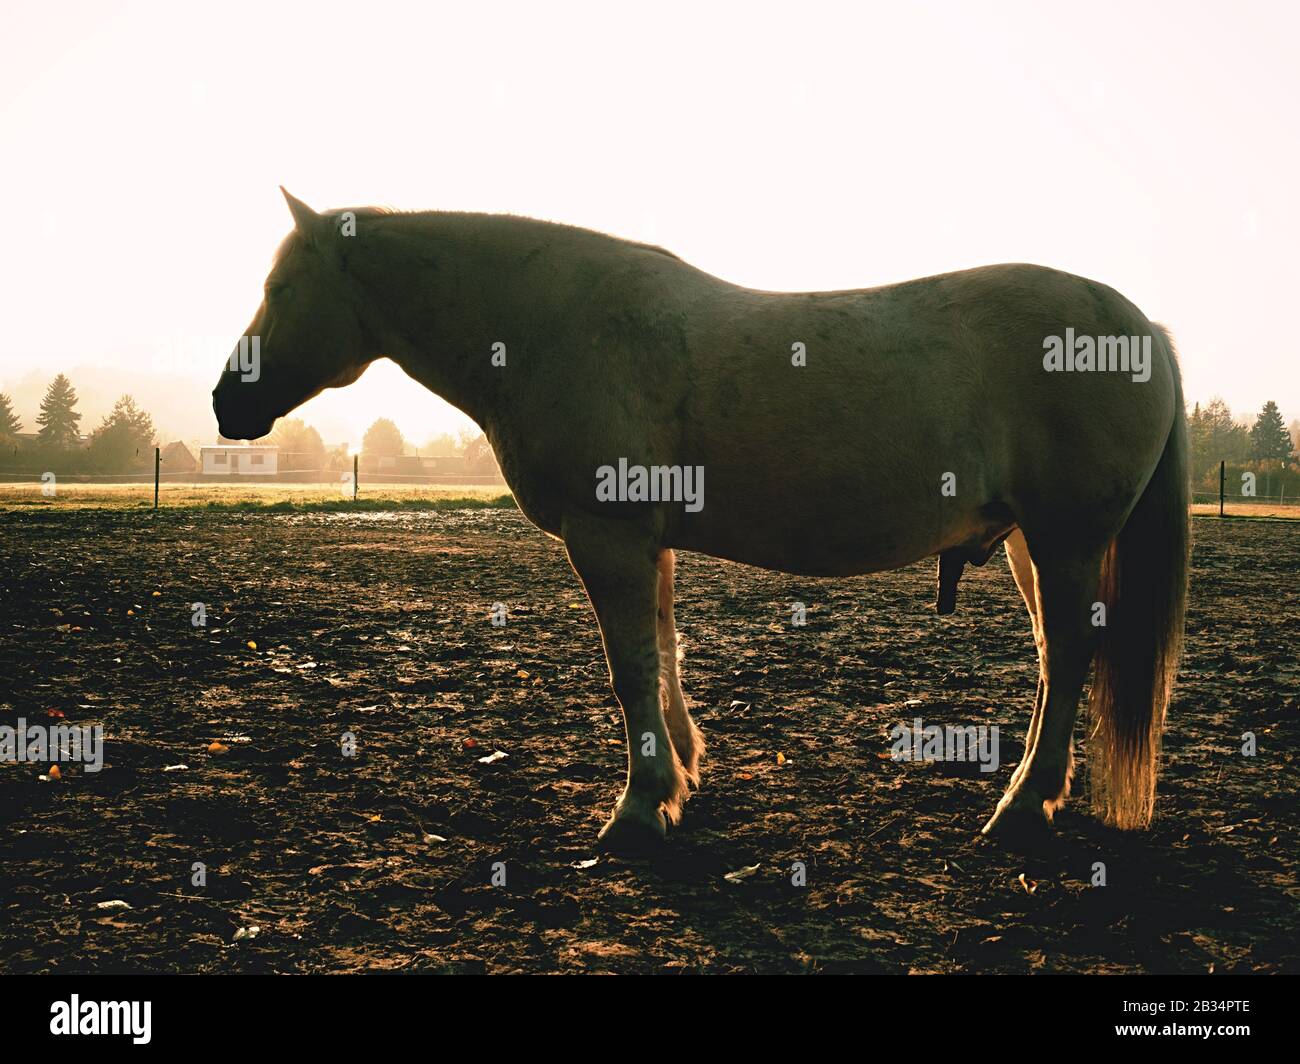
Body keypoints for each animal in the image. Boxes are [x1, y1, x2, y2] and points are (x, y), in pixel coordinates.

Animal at [210, 191, 1190, 848]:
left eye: (282, 285)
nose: (227, 401)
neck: (553, 323)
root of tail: (1134, 324)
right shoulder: (646, 542)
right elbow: (664, 654)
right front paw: (681, 774)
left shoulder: (607, 537)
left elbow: (630, 669)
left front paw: (641, 806)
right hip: (1034, 544)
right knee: (1057, 657)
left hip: (1065, 541)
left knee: (1070, 656)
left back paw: (1022, 805)